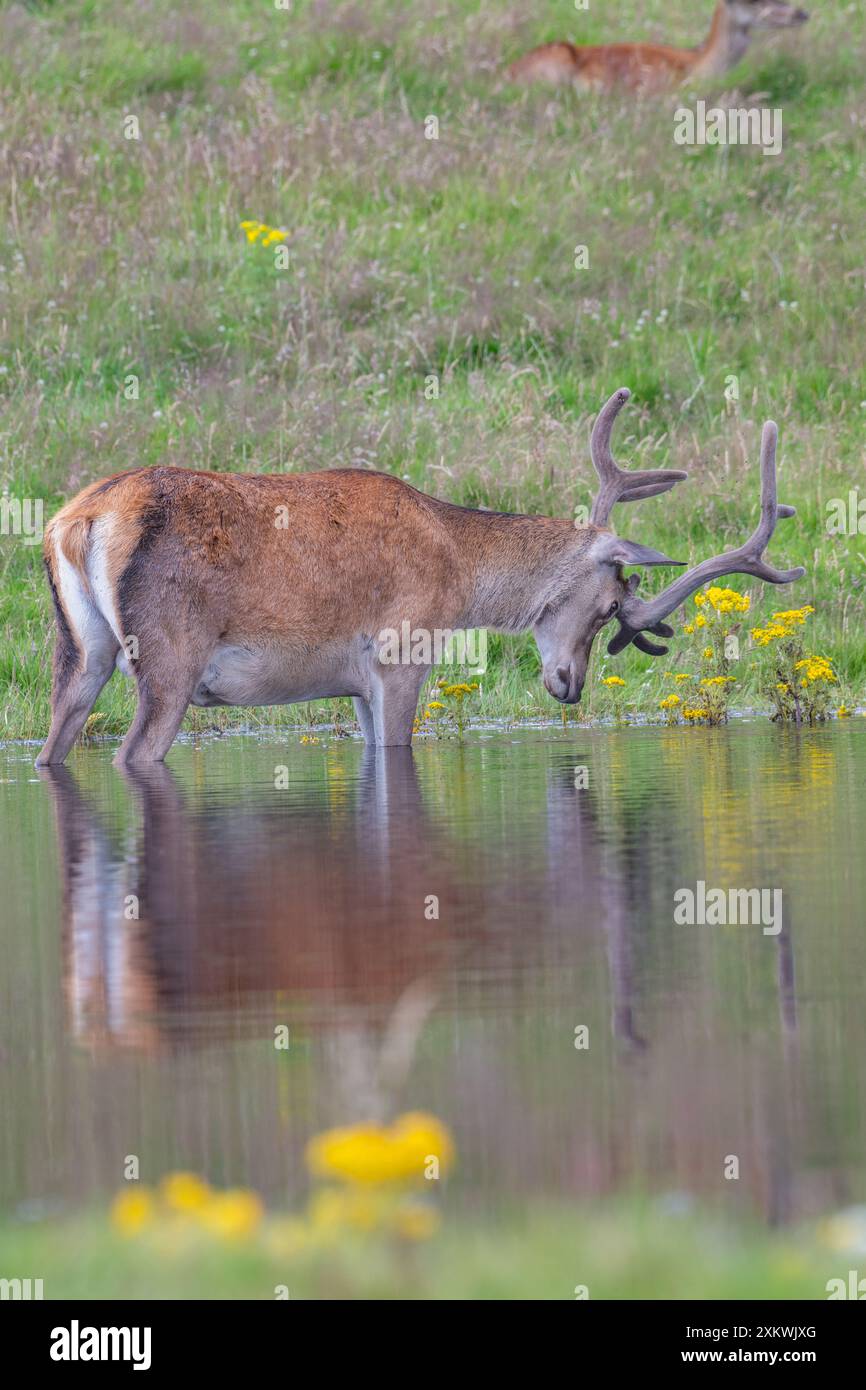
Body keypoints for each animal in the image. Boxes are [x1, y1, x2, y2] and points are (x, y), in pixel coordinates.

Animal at [37, 386, 800, 767]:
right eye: (613, 602)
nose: (571, 685)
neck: (459, 571)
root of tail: (82, 519)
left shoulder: (353, 684)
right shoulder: (401, 653)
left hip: (80, 649)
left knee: (55, 742)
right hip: (172, 653)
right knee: (132, 752)